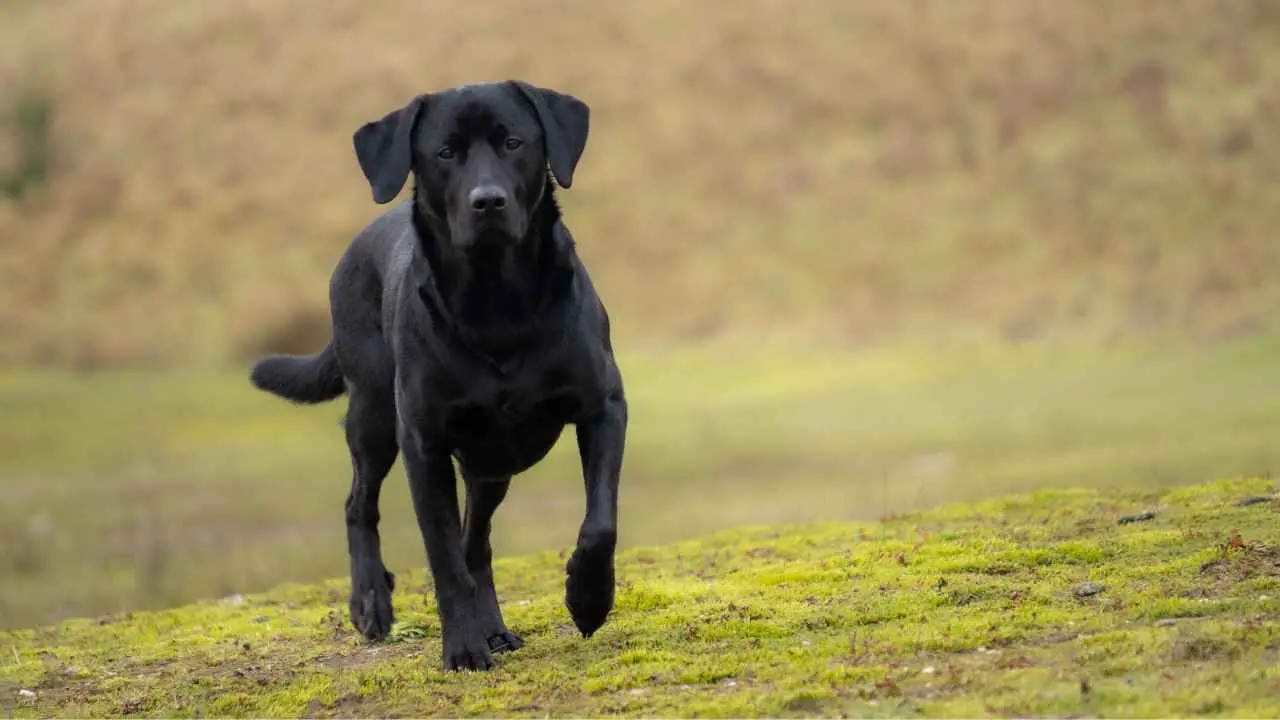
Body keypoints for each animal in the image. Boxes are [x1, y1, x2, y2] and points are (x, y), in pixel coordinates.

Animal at [247, 81, 627, 671]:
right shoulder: (423, 443)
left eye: (514, 142)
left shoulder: (603, 406)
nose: (488, 201)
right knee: (360, 505)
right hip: (376, 418)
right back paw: (371, 602)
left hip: (489, 466)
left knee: (478, 543)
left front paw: (587, 600)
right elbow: (443, 557)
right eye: (446, 153)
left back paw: (495, 628)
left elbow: (599, 523)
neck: (497, 302)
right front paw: (463, 647)